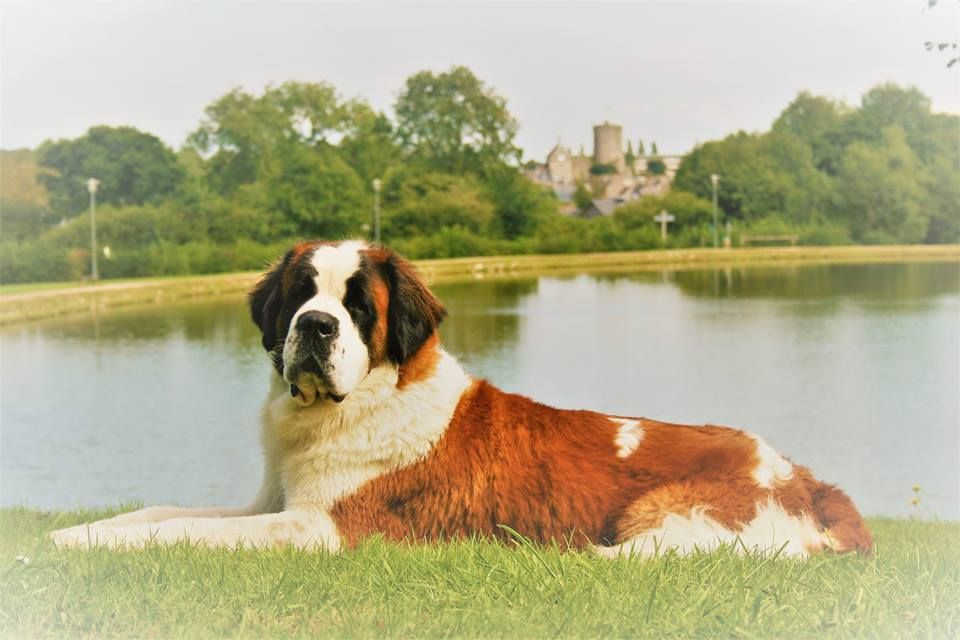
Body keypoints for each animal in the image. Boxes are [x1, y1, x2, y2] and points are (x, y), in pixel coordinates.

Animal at [54, 238, 876, 556]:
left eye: (357, 306)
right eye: (298, 294)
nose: (313, 326)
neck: (366, 400)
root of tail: (805, 475)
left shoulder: (319, 528)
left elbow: (186, 529)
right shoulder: (270, 503)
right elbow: (161, 511)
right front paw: (77, 533)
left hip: (672, 518)